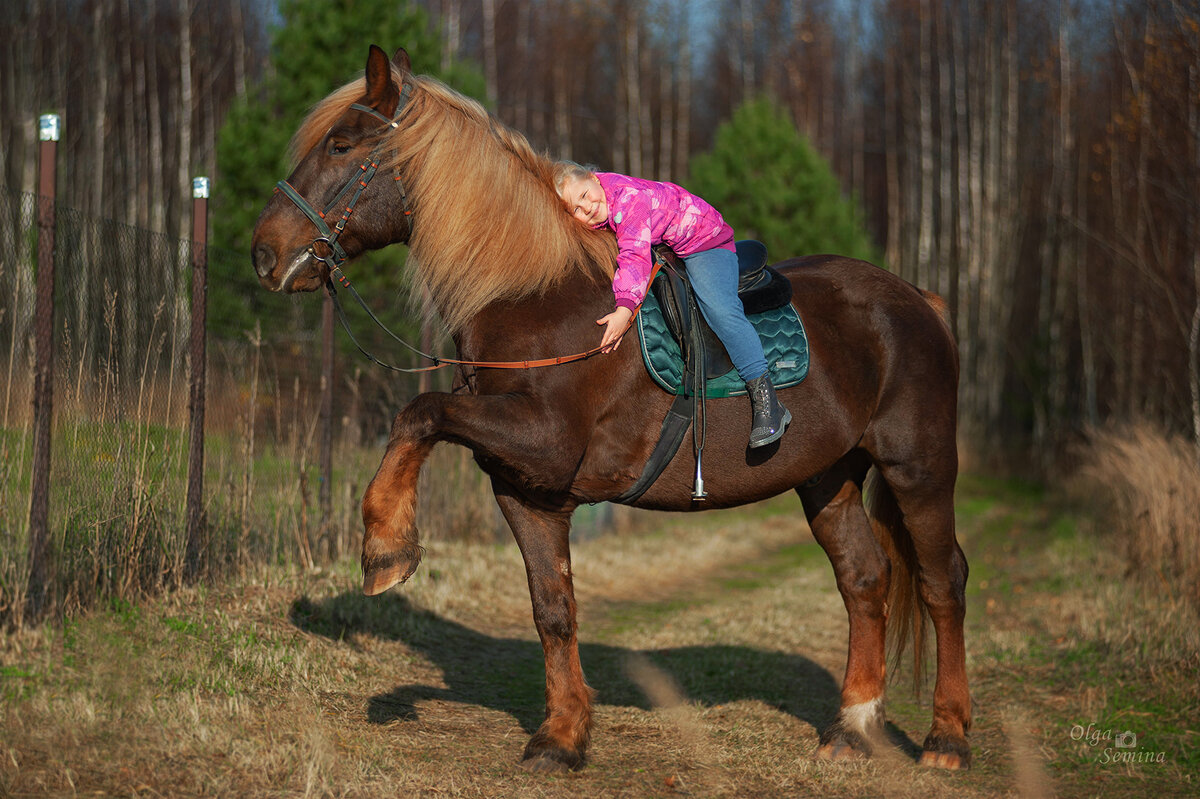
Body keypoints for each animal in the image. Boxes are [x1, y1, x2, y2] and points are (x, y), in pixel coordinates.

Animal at [248, 44, 969, 772]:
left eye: (341, 145)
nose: (264, 253)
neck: (535, 295)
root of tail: (920, 301)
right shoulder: (528, 490)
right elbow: (553, 608)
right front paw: (562, 736)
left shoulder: (542, 441)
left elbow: (420, 412)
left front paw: (386, 545)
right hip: (828, 476)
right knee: (864, 579)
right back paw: (852, 725)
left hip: (919, 468)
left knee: (941, 581)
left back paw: (947, 738)